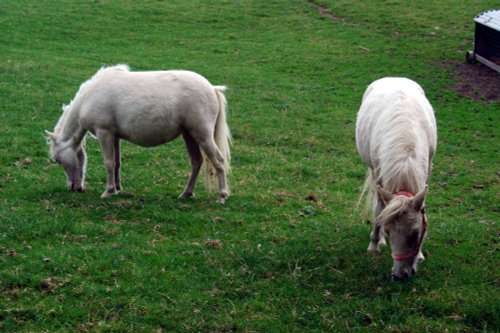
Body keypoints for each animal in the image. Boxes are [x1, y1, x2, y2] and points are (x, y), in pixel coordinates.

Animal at [47, 63, 231, 201]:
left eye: (58, 160)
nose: (73, 188)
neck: (88, 99)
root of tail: (212, 88)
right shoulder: (114, 137)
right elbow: (116, 163)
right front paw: (117, 188)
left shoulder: (104, 134)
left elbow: (108, 163)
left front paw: (108, 191)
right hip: (189, 135)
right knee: (196, 162)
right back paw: (186, 193)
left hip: (202, 135)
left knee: (218, 160)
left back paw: (222, 195)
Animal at [356, 76, 438, 278]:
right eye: (388, 230)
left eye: (416, 234)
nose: (400, 275)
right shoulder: (379, 175)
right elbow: (380, 210)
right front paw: (374, 244)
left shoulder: (427, 172)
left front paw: (420, 254)